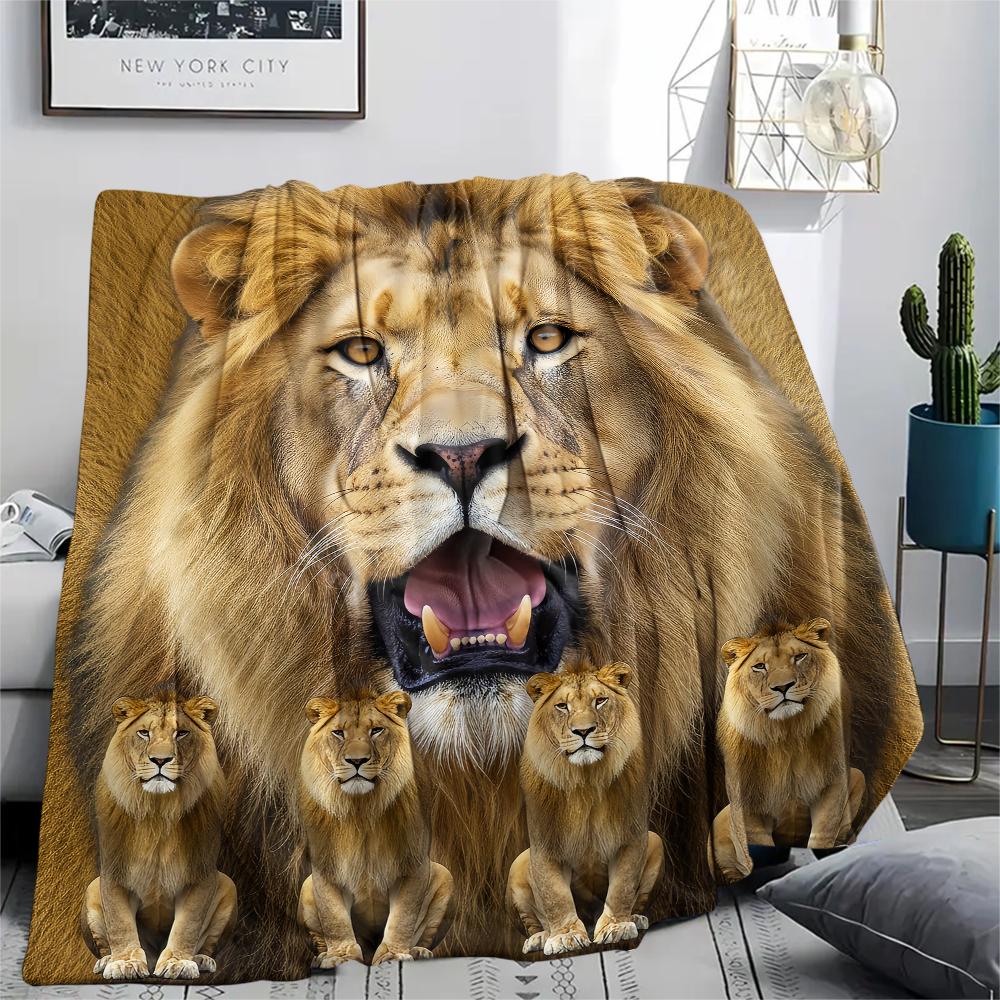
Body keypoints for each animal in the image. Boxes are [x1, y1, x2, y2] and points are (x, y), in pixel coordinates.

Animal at [80, 693, 237, 981]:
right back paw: (107, 960)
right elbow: (119, 922)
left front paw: (178, 962)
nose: (161, 760)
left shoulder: (200, 873)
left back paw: (201, 959)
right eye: (144, 733)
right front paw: (124, 963)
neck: (159, 810)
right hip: (92, 887)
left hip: (228, 884)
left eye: (182, 733)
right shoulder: (113, 872)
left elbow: (188, 924)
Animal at [298, 690, 454, 966]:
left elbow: (403, 916)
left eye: (376, 731)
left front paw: (393, 953)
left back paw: (419, 951)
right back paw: (323, 955)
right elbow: (334, 918)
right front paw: (341, 956)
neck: (362, 809)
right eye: (338, 733)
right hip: (306, 886)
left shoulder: (413, 863)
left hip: (445, 876)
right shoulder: (325, 868)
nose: (357, 760)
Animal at [507, 662, 663, 956]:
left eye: (600, 700)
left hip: (656, 840)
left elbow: (622, 886)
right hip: (518, 863)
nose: (583, 731)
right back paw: (539, 938)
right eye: (562, 706)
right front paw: (565, 936)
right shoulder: (544, 846)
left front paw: (616, 926)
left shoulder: (632, 837)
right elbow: (555, 896)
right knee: (534, 920)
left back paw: (636, 918)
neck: (586, 781)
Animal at [710, 618, 866, 882]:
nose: (783, 687)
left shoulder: (834, 783)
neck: (787, 734)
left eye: (800, 657)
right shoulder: (745, 798)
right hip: (721, 817)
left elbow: (822, 834)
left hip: (857, 775)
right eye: (760, 666)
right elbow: (755, 843)